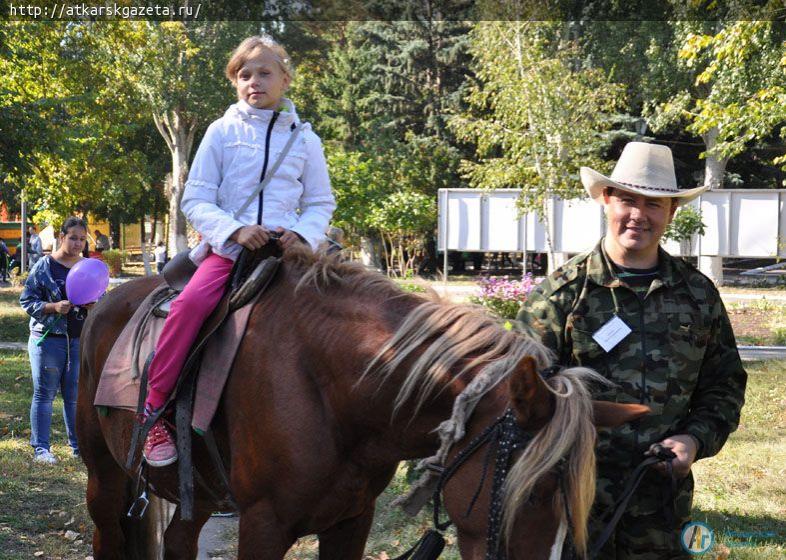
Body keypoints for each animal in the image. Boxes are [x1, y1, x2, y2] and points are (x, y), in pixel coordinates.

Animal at [78, 248, 644, 560]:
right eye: (534, 489)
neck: (333, 392)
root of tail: (111, 298)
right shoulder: (262, 525)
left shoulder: (352, 522)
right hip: (104, 474)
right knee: (108, 536)